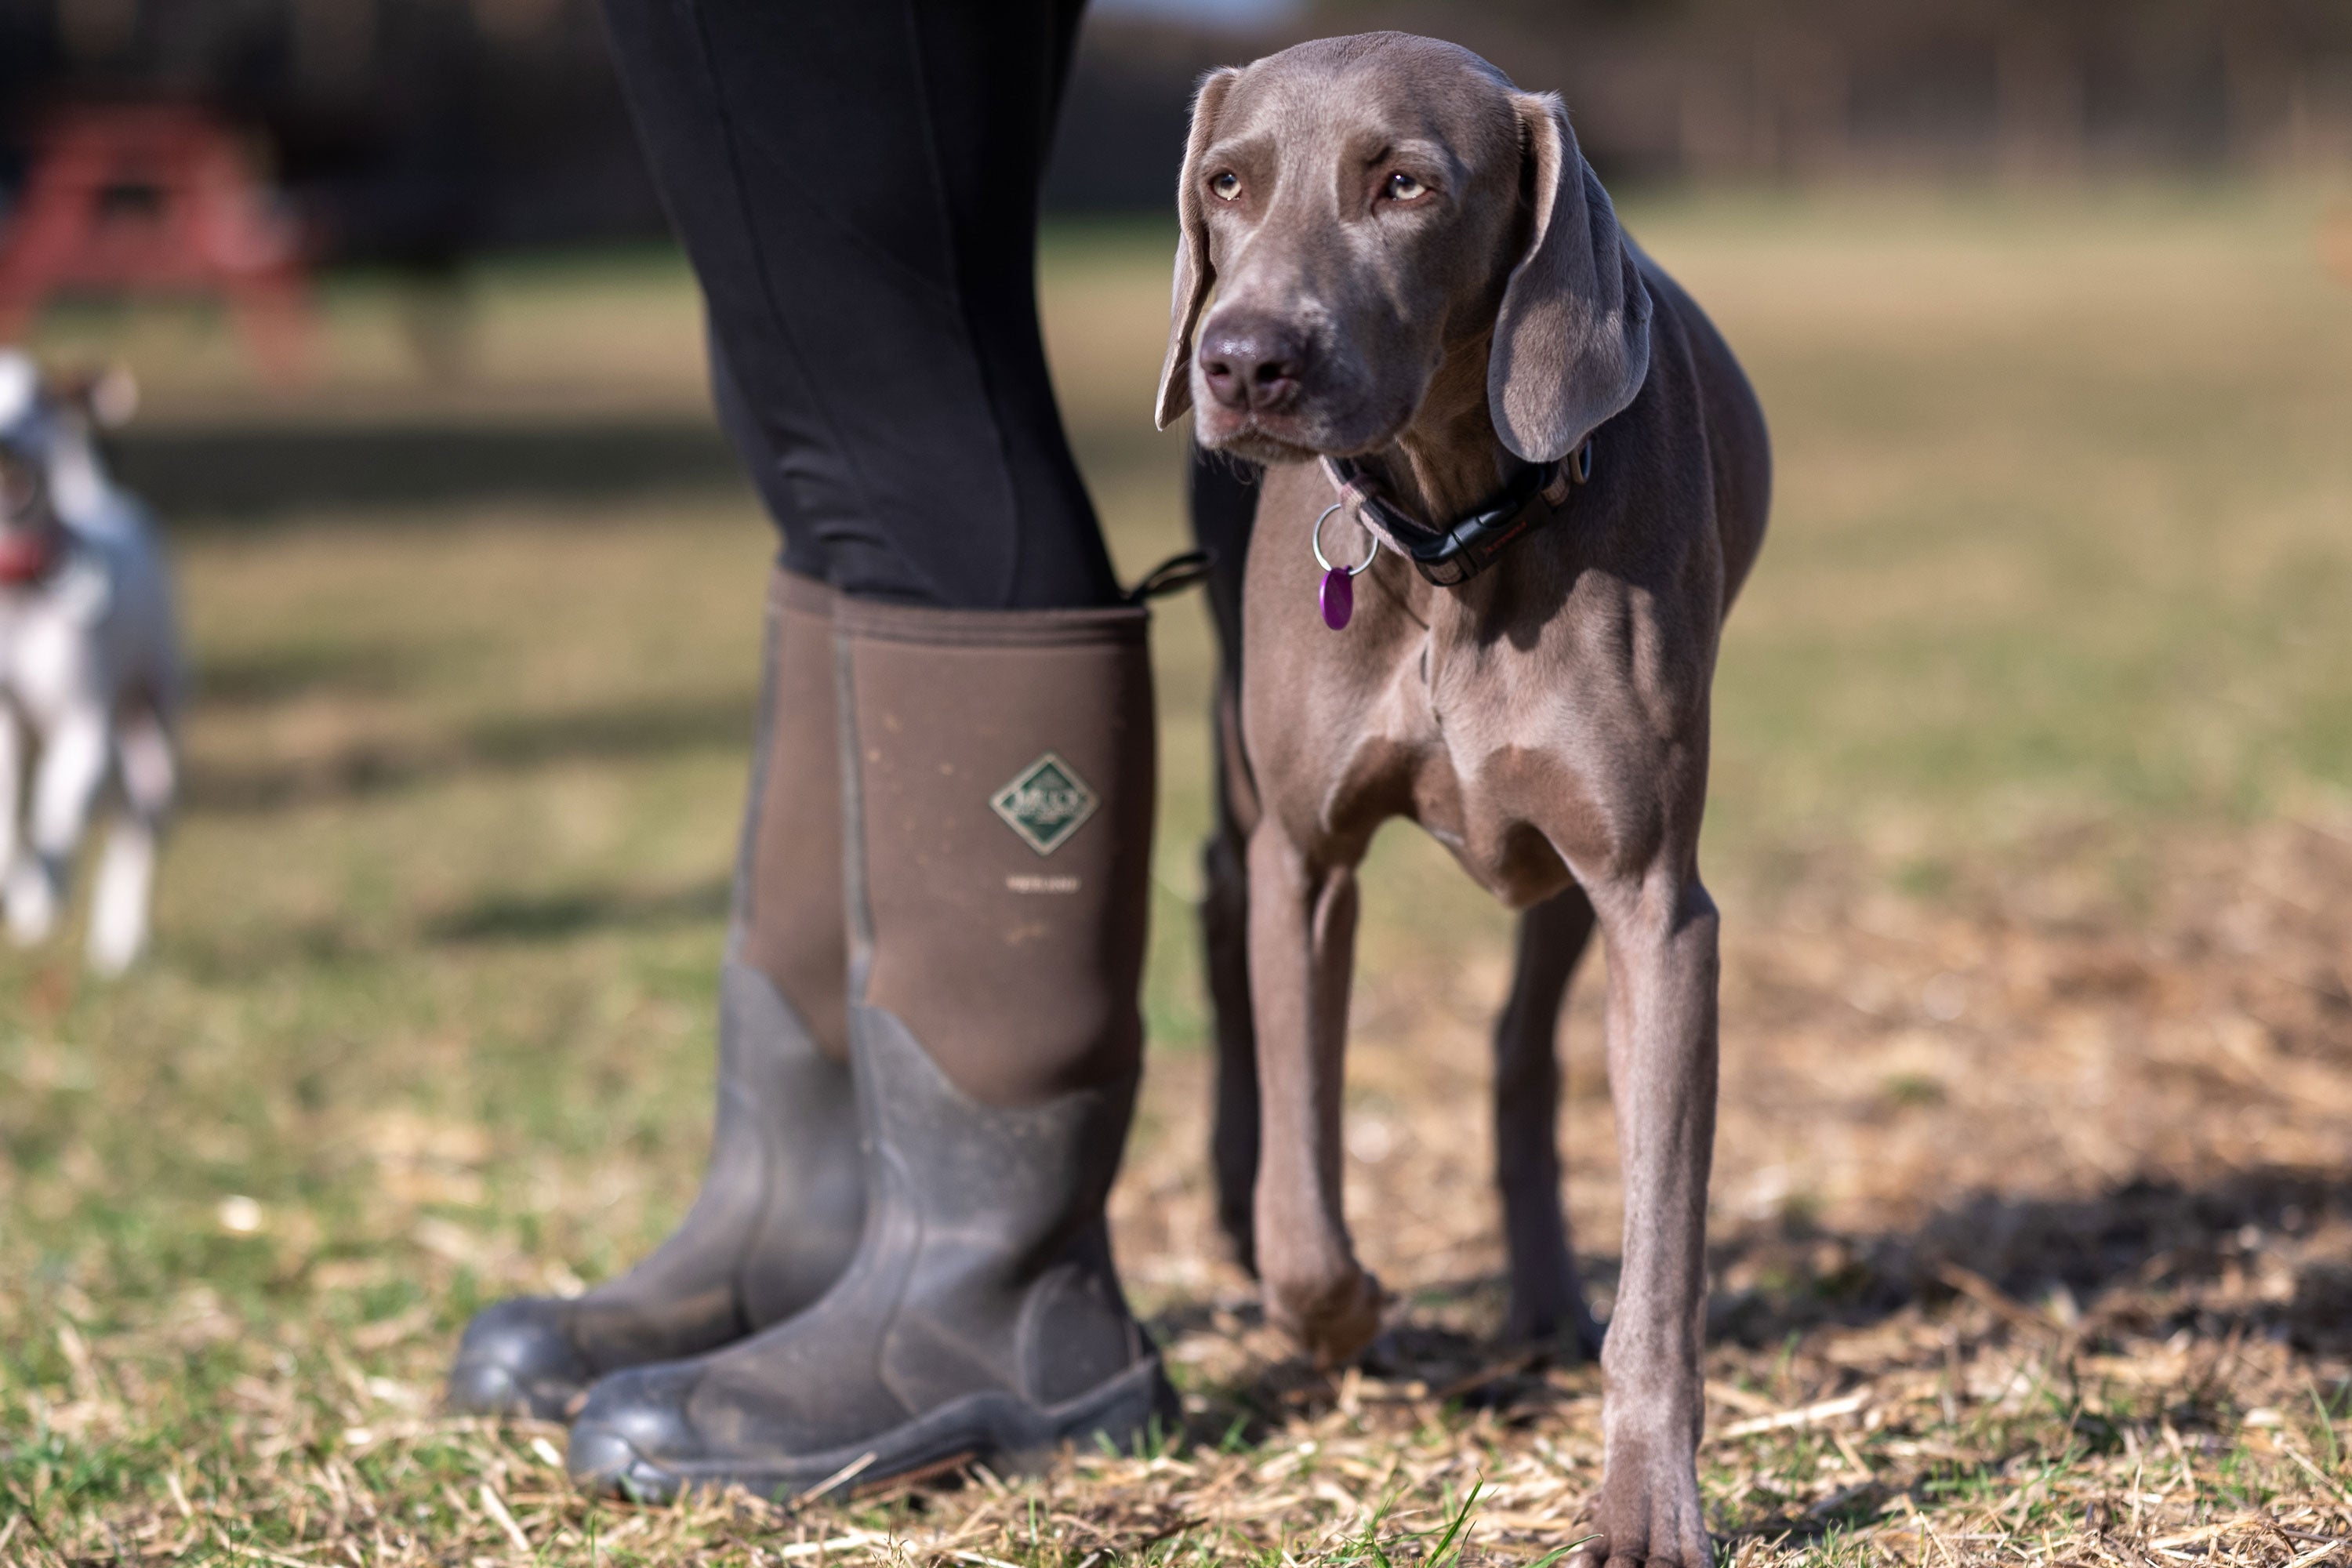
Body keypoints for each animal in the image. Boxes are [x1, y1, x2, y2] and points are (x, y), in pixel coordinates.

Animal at [0, 350, 182, 973]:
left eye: (38, 398)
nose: (5, 438)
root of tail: (104, 500)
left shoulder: (85, 725)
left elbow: (54, 809)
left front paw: (45, 895)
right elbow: (9, 824)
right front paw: (24, 893)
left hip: (153, 735)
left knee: (135, 833)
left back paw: (119, 940)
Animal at [1157, 36, 1769, 1568]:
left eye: (1407, 185)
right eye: (1226, 182)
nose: (1243, 359)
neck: (1452, 538)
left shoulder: (1655, 901)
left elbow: (1661, 1256)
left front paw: (1645, 1502)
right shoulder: (1309, 859)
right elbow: (1308, 1205)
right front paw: (1344, 1312)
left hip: (1569, 868)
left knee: (1521, 1050)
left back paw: (1541, 1292)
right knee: (1220, 900)